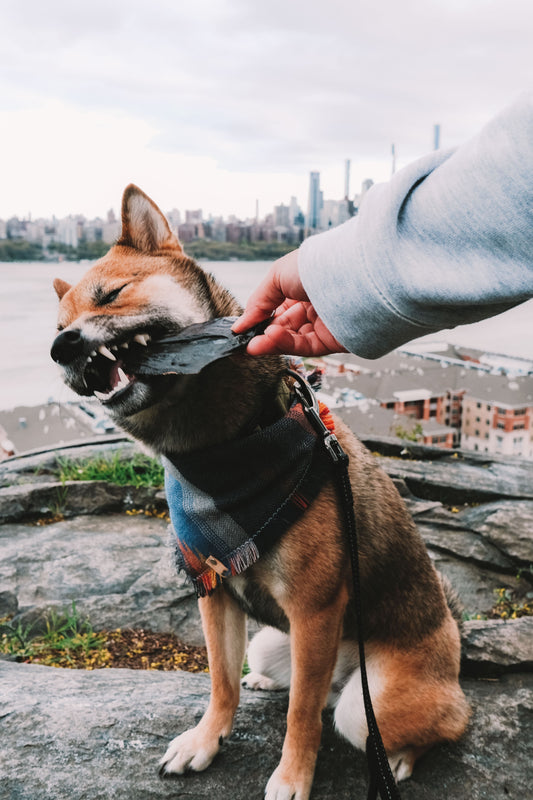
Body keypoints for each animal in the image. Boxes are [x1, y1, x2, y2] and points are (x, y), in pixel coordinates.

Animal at [51, 186, 470, 800]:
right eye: (58, 324)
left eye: (111, 294)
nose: (62, 345)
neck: (218, 450)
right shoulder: (216, 590)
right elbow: (221, 683)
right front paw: (206, 739)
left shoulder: (315, 610)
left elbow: (302, 718)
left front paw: (292, 776)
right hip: (271, 644)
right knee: (301, 684)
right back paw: (271, 685)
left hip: (372, 699)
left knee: (423, 721)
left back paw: (399, 759)